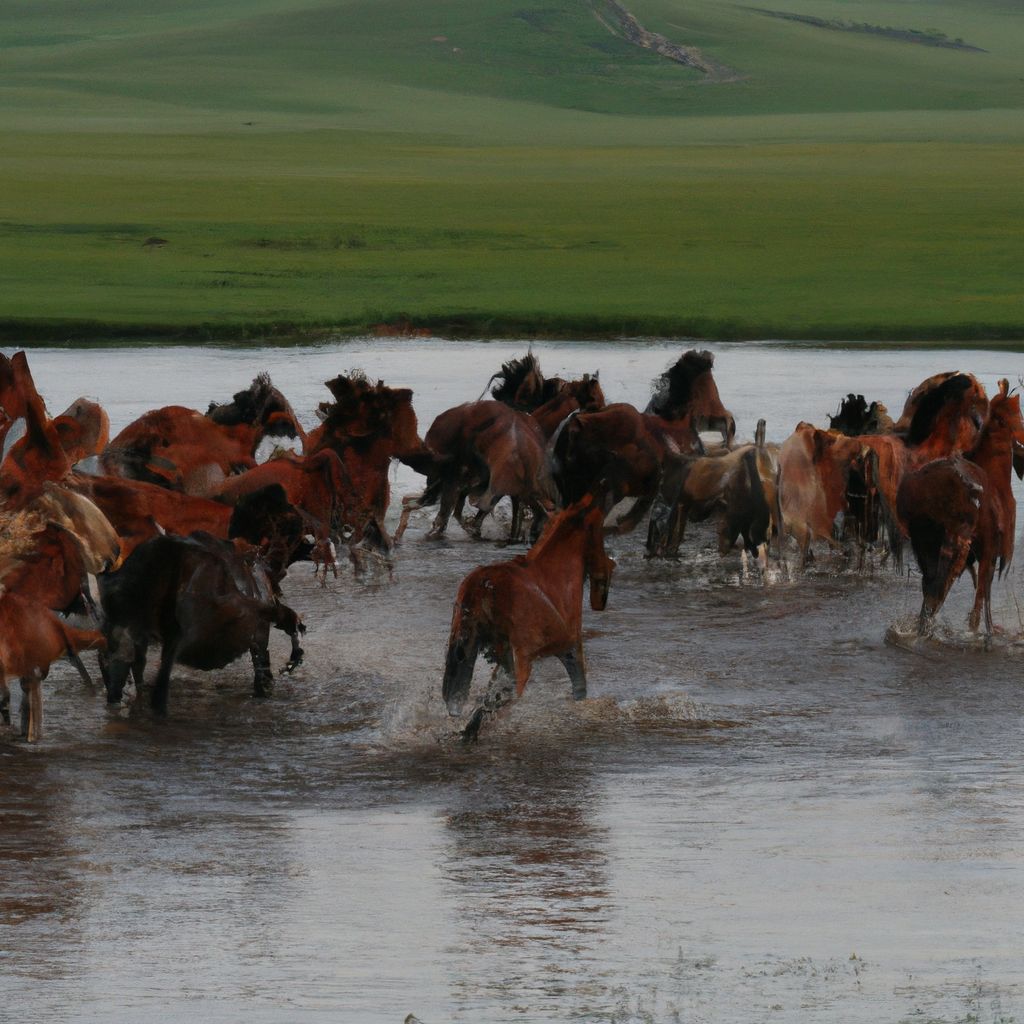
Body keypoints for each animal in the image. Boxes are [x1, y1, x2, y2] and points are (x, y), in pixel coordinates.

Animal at [442, 495, 614, 737]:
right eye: (599, 532)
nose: (608, 568)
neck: (556, 575)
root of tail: (483, 586)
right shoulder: (569, 647)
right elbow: (580, 688)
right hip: (520, 659)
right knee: (506, 695)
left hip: (467, 646)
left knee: (465, 695)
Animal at [897, 376, 1024, 630]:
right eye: (1018, 415)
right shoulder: (989, 551)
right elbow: (982, 603)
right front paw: (983, 631)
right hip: (953, 542)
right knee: (937, 589)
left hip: (925, 541)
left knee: (930, 590)